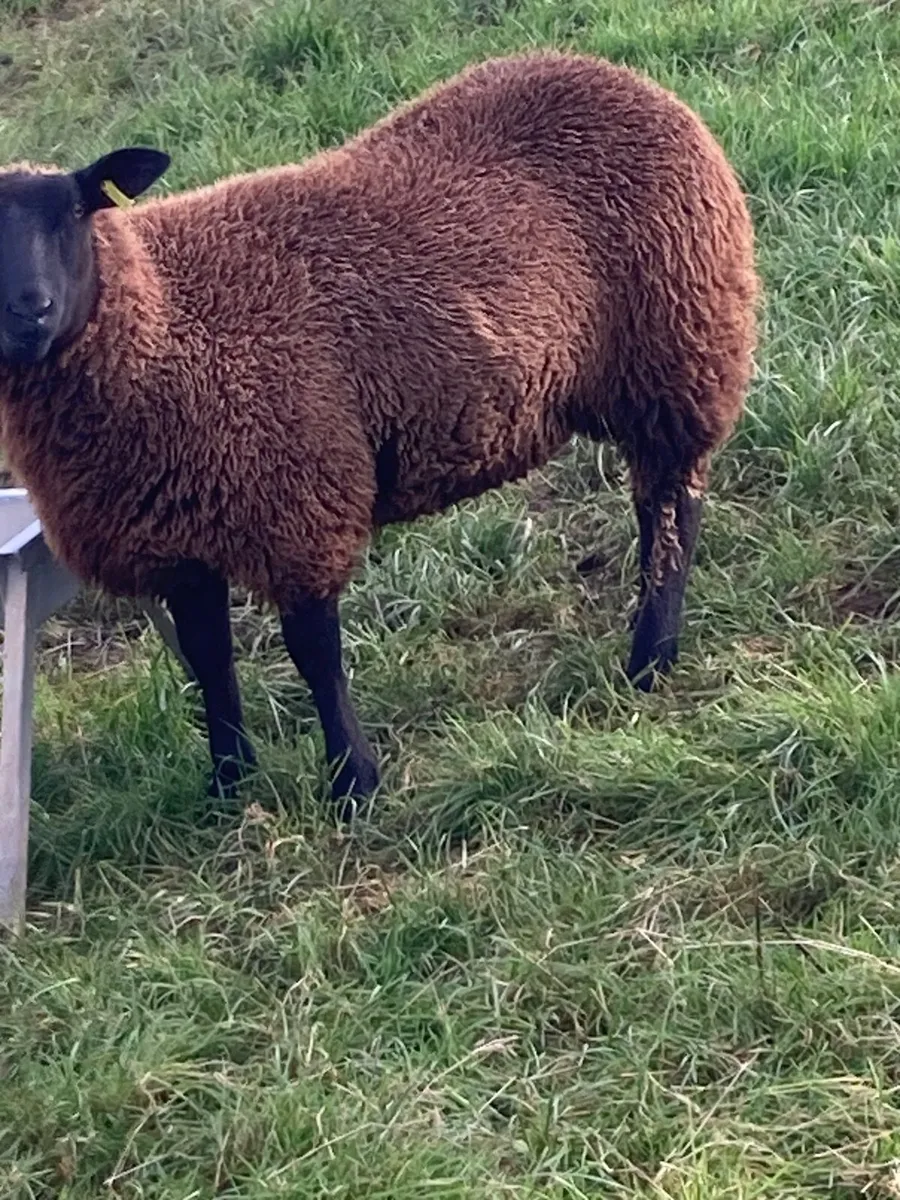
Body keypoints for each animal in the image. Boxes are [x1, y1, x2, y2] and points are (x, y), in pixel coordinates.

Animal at [0, 51, 758, 814]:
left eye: (76, 211)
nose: (29, 311)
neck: (168, 317)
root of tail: (615, 73)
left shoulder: (298, 508)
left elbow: (315, 656)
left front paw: (352, 783)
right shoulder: (180, 545)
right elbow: (211, 665)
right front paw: (228, 784)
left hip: (677, 351)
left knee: (671, 510)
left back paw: (651, 658)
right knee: (661, 506)